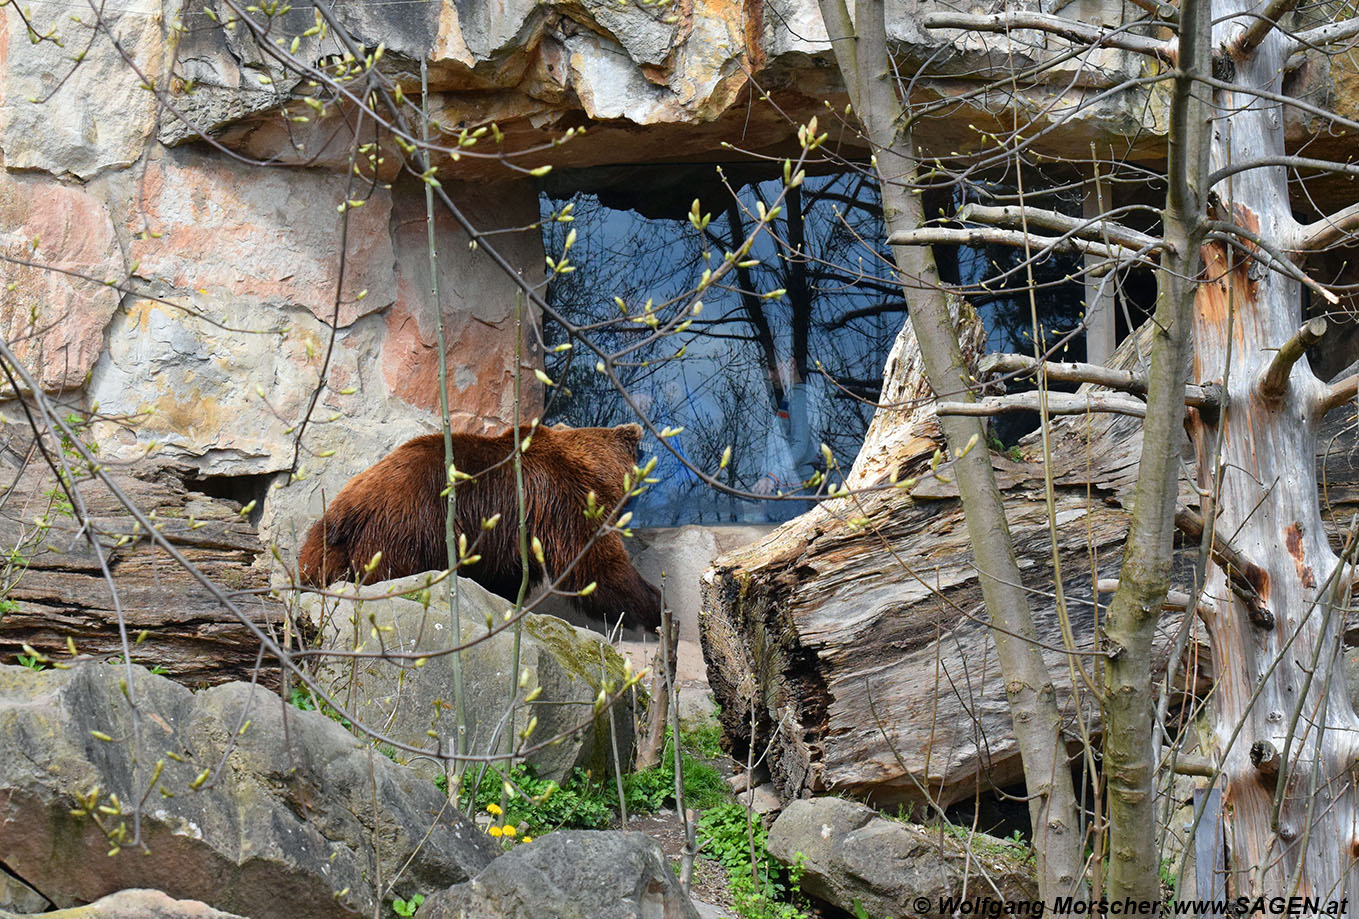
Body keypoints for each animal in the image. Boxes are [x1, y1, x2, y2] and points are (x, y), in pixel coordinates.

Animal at [297, 424, 663, 630]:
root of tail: (348, 507)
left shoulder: (506, 536)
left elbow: (505, 577)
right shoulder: (561, 499)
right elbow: (594, 567)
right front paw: (655, 604)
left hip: (325, 544)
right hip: (407, 529)